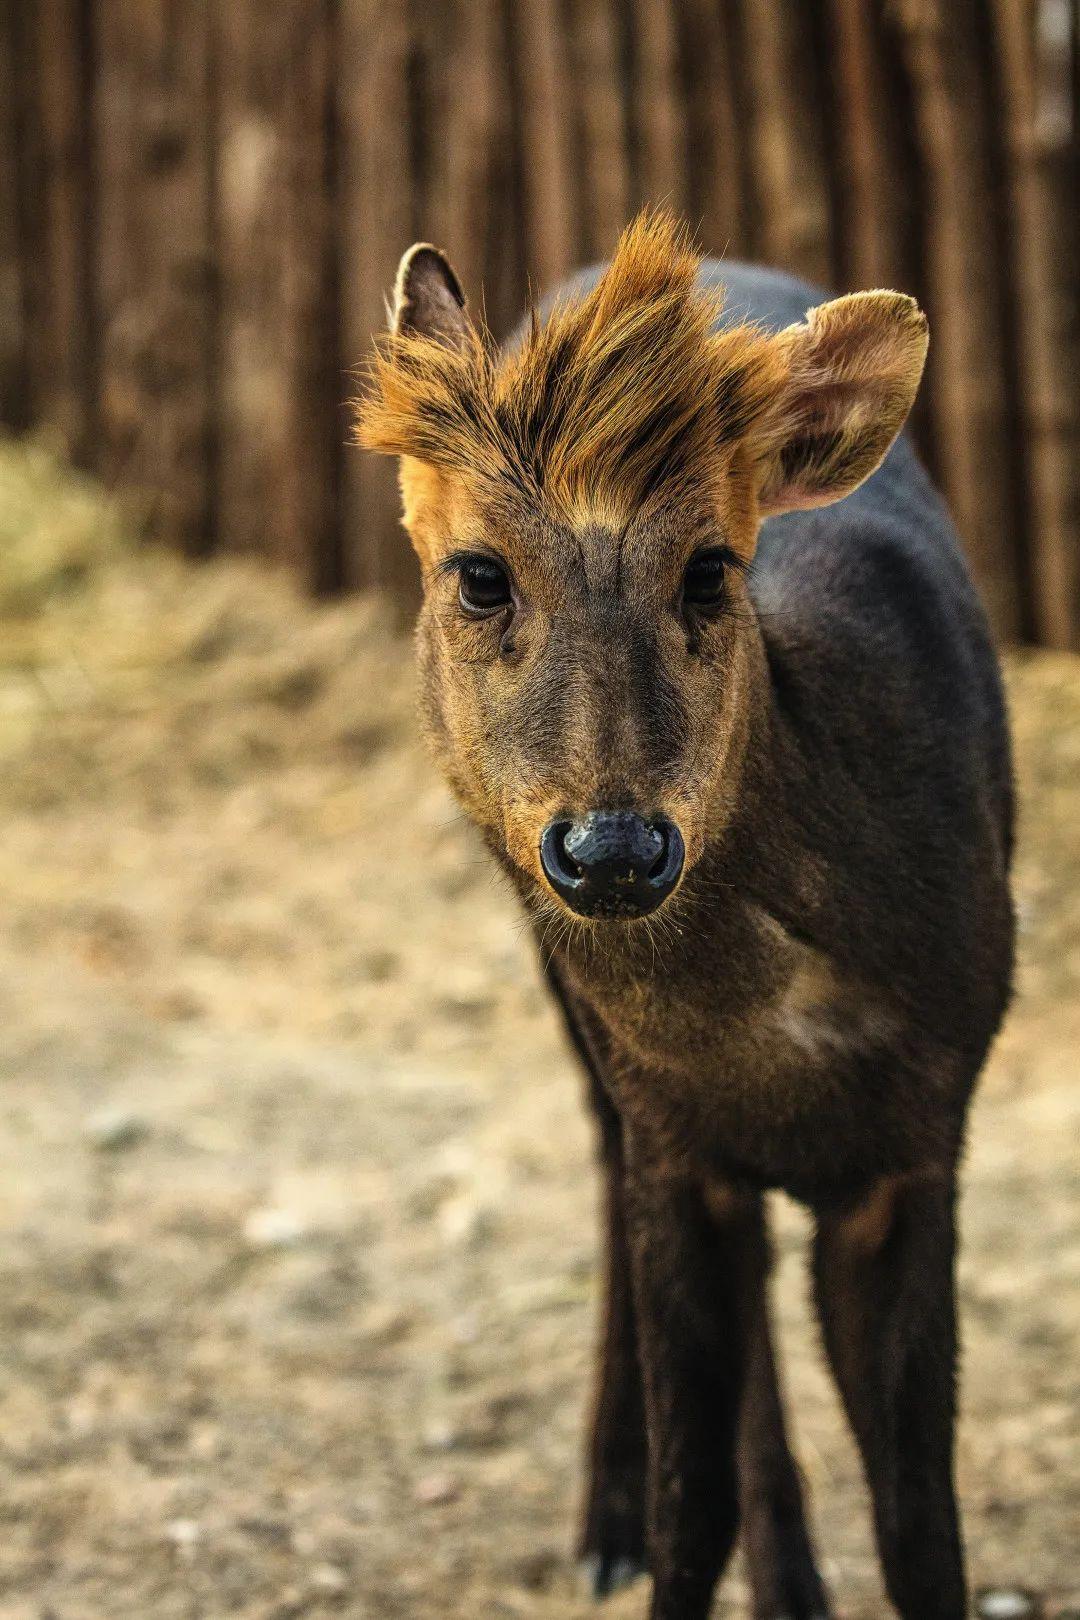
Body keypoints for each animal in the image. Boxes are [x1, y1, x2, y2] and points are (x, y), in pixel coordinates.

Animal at [354, 215, 1016, 1620]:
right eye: (479, 576)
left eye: (711, 568)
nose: (613, 847)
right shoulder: (676, 1133)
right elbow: (691, 1498)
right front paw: (650, 1528)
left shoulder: (925, 1135)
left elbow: (919, 1515)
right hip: (580, 1021)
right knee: (611, 1173)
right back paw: (615, 1525)